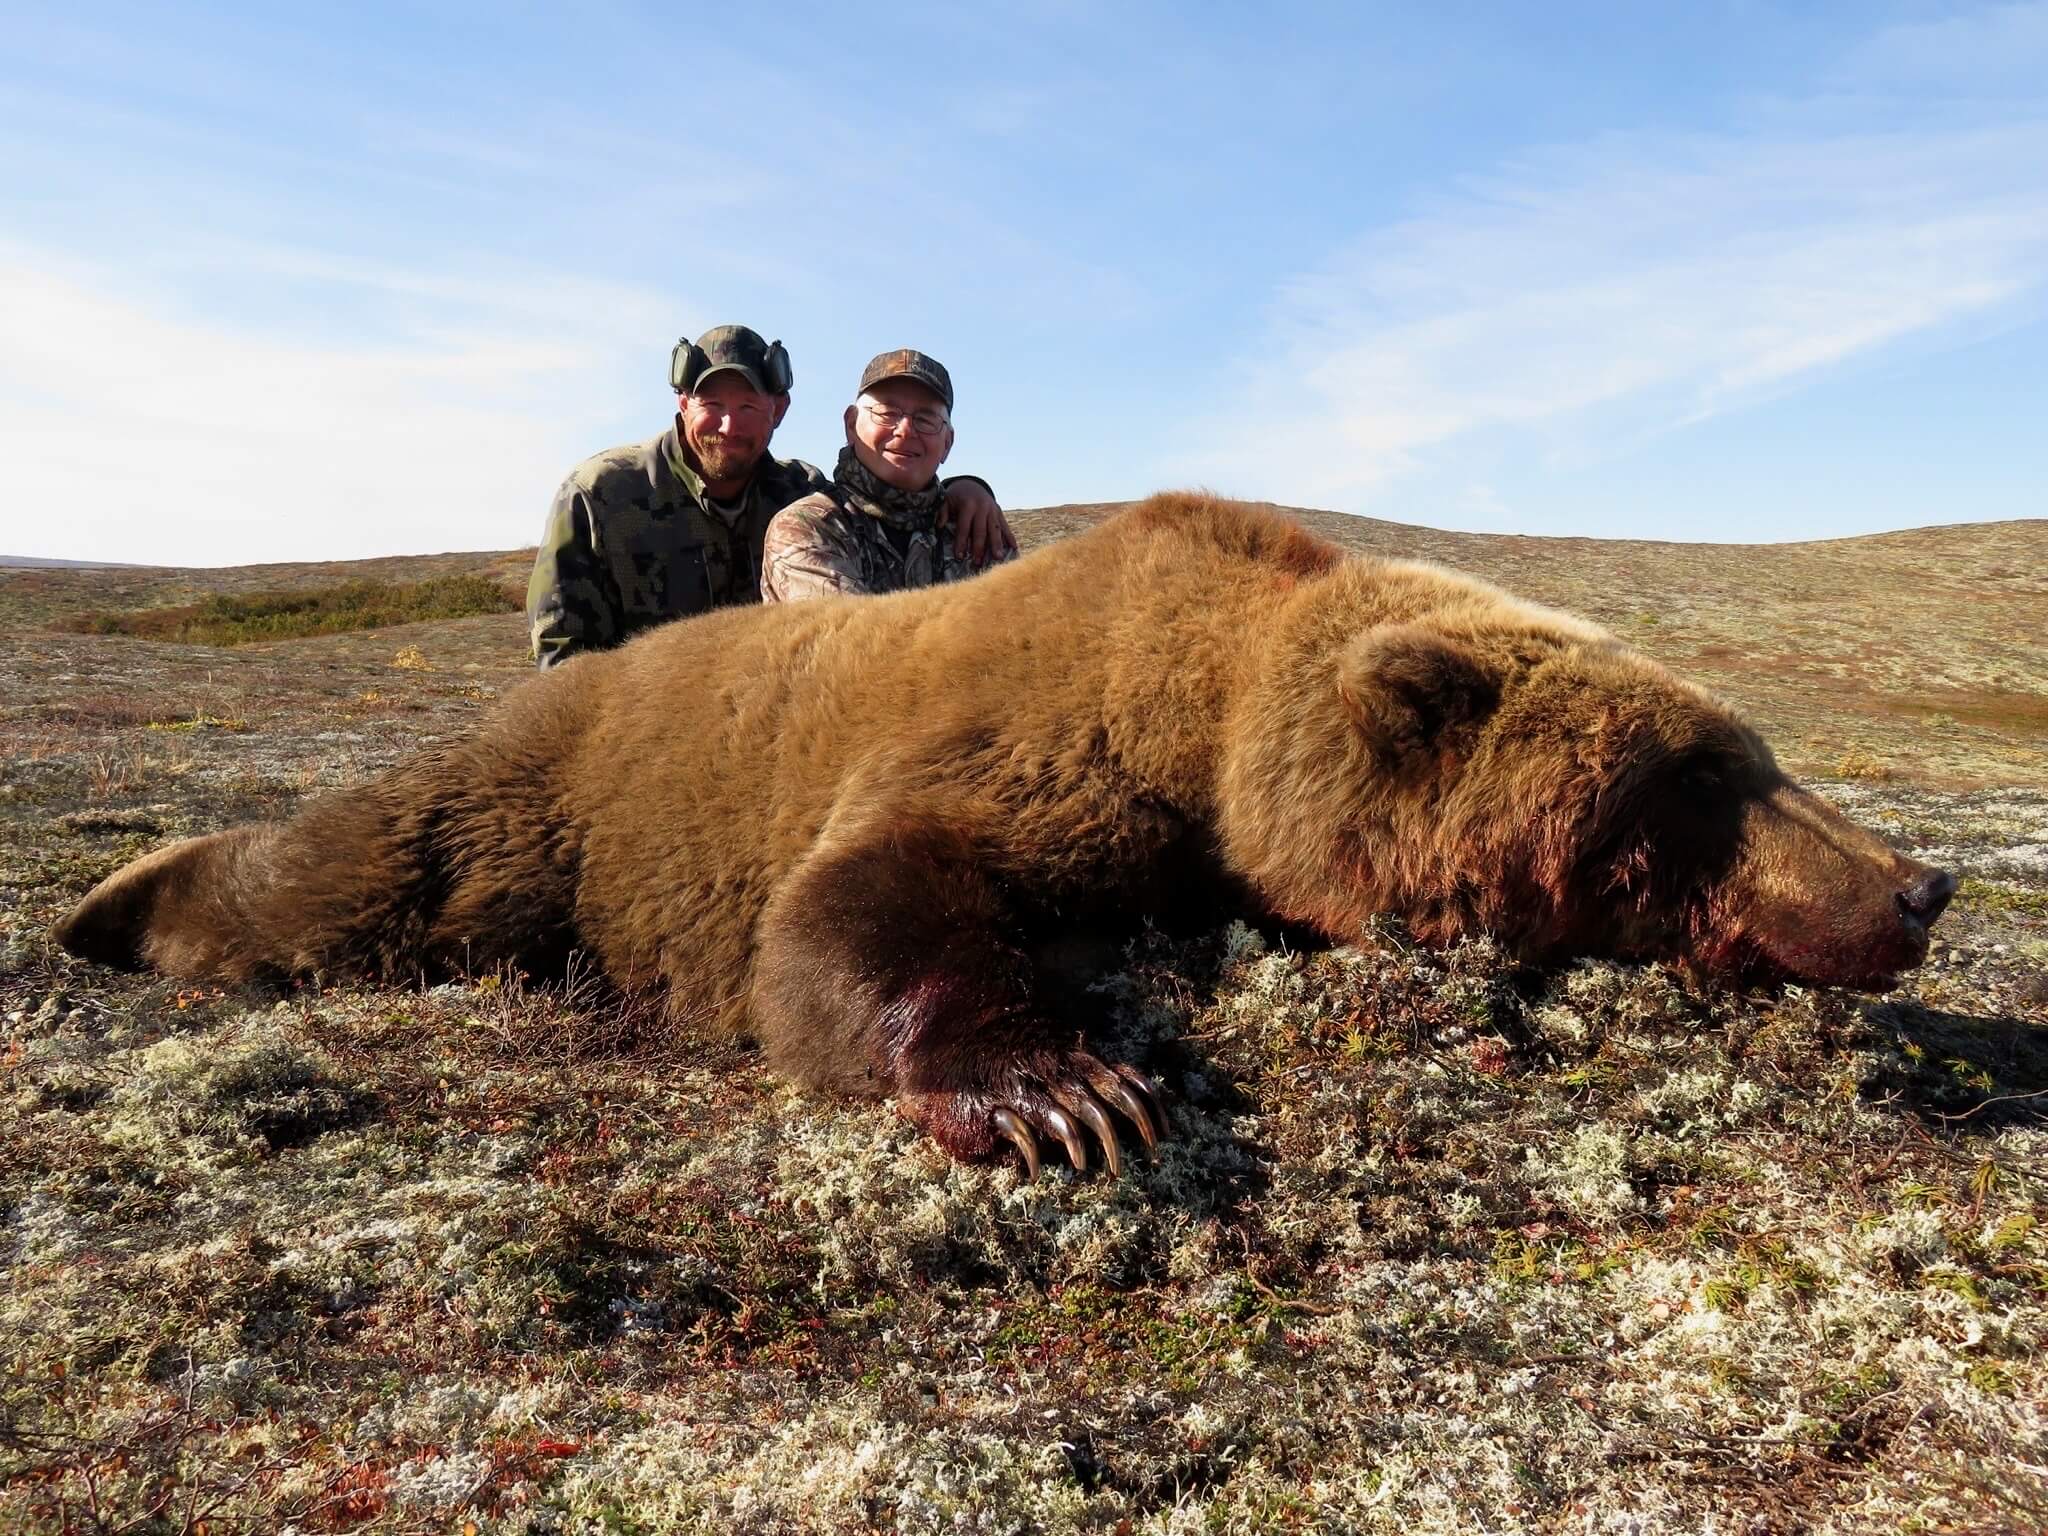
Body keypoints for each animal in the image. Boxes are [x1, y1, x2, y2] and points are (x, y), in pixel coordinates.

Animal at [54, 495, 1955, 1178]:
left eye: (1749, 752)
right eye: (1694, 778)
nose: (1917, 885)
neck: (1209, 691)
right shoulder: (1033, 739)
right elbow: (850, 905)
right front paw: (1064, 1092)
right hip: (541, 798)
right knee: (349, 874)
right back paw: (111, 908)